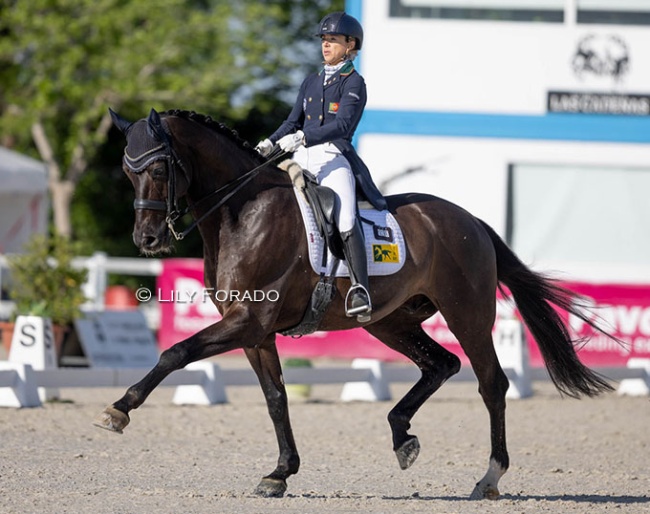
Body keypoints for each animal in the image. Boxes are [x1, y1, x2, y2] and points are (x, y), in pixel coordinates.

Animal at [96, 107, 612, 496]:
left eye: (158, 168)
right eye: (126, 170)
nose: (147, 239)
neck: (243, 214)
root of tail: (470, 220)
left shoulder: (250, 319)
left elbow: (175, 352)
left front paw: (119, 409)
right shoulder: (254, 332)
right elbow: (275, 398)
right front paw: (280, 473)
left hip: (466, 315)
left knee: (492, 384)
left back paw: (489, 477)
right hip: (388, 321)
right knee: (440, 364)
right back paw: (402, 437)